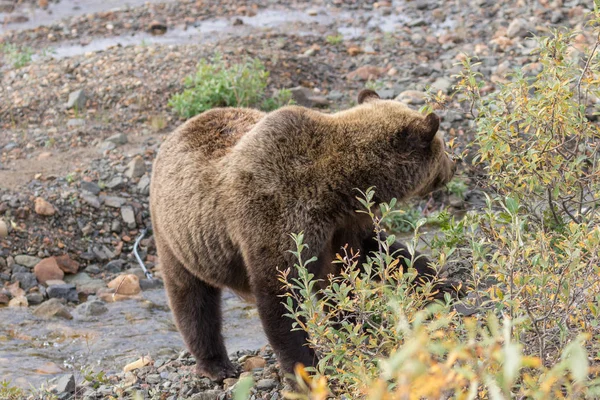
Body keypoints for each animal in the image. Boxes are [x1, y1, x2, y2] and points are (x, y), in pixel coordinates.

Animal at [150, 90, 454, 382]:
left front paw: (441, 284)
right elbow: (280, 296)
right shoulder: (277, 216)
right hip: (180, 238)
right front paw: (305, 371)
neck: (340, 188)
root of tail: (174, 134)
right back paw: (216, 365)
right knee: (192, 300)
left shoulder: (346, 225)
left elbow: (376, 255)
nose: (454, 165)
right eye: (442, 147)